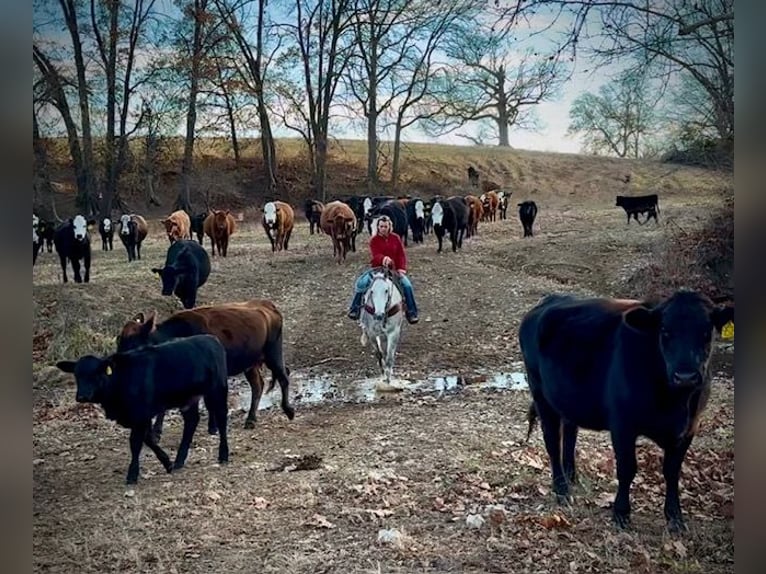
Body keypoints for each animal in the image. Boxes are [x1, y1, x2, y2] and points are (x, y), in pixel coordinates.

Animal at [56, 332, 230, 486]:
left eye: (96, 373)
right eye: (77, 375)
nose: (82, 396)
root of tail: (211, 338)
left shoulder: (139, 415)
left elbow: (135, 443)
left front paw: (132, 475)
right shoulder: (139, 417)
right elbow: (149, 439)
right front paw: (167, 462)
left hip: (217, 390)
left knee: (222, 418)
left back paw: (223, 455)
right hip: (188, 398)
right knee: (191, 421)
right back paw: (179, 460)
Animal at [118, 300, 296, 434]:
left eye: (133, 342)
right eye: (119, 339)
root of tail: (266, 305)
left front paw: (213, 426)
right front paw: (156, 432)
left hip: (273, 353)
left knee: (283, 377)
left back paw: (288, 410)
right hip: (250, 363)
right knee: (258, 385)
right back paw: (251, 420)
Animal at [520, 292, 736, 536]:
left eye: (707, 331)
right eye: (665, 330)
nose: (686, 376)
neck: (675, 402)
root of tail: (551, 299)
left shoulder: (689, 428)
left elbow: (672, 472)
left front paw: (675, 519)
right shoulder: (623, 425)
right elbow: (627, 469)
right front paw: (621, 514)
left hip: (566, 398)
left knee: (570, 432)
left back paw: (572, 477)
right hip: (540, 392)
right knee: (552, 441)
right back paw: (562, 490)